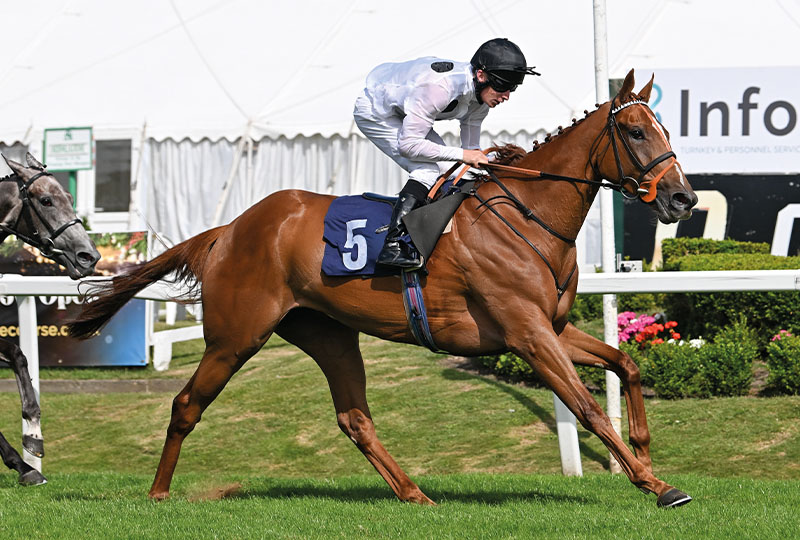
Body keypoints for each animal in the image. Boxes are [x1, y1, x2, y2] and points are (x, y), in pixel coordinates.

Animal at [69, 70, 696, 506]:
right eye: (635, 131)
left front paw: (645, 454)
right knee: (186, 404)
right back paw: (158, 492)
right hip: (235, 335)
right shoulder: (527, 334)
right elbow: (587, 406)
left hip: (327, 334)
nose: (682, 198)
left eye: (666, 129)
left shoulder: (551, 328)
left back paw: (414, 493)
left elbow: (626, 364)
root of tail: (229, 230)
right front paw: (656, 484)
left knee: (354, 419)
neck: (529, 215)